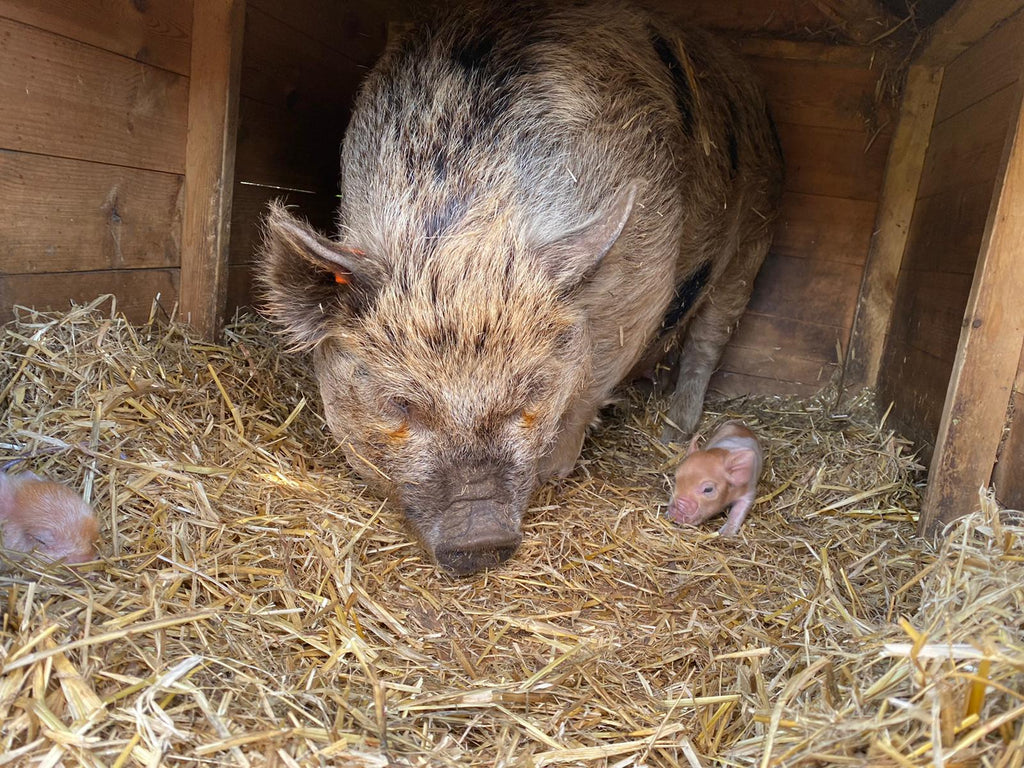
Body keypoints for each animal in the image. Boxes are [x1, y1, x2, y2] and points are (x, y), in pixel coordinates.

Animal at [258, 0, 782, 573]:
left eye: (530, 394)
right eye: (400, 404)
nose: (480, 537)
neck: (468, 226)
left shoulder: (645, 286)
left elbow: (591, 386)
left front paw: (555, 469)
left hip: (753, 236)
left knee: (710, 337)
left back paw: (674, 428)